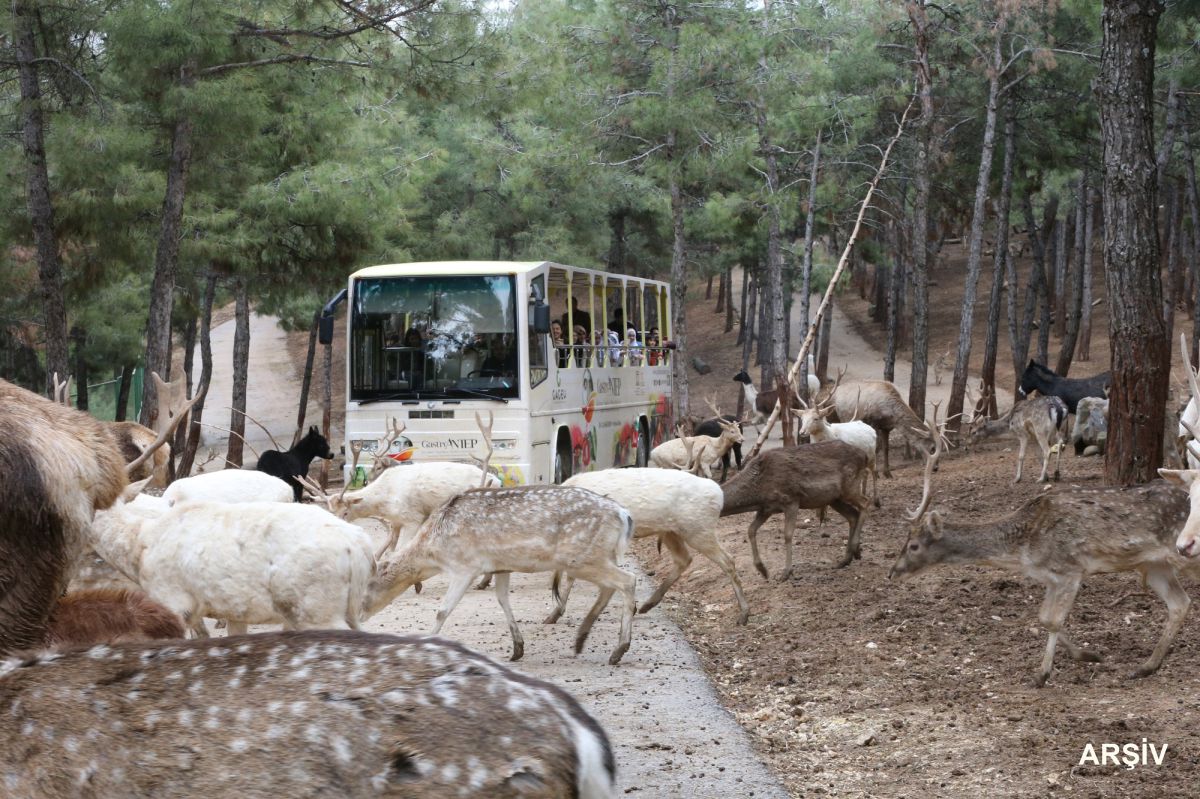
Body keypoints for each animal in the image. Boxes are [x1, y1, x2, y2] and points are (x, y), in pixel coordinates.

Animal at [90, 484, 374, 633]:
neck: (139, 549)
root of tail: (359, 546)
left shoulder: (172, 600)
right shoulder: (230, 610)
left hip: (317, 610)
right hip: (347, 610)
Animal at [561, 467, 748, 623]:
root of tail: (719, 494)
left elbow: (571, 573)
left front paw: (557, 611)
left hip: (698, 528)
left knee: (727, 560)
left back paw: (744, 614)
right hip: (671, 531)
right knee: (684, 559)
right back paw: (646, 605)